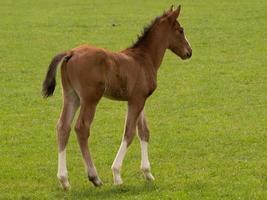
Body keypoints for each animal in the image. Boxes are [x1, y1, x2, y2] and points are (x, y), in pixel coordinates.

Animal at [42, 5, 193, 189]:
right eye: (180, 30)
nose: (189, 52)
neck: (144, 58)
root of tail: (70, 53)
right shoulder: (136, 101)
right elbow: (129, 132)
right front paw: (117, 174)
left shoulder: (139, 100)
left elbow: (144, 132)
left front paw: (148, 173)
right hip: (90, 99)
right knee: (81, 128)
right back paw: (94, 177)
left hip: (71, 97)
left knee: (63, 127)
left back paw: (64, 180)